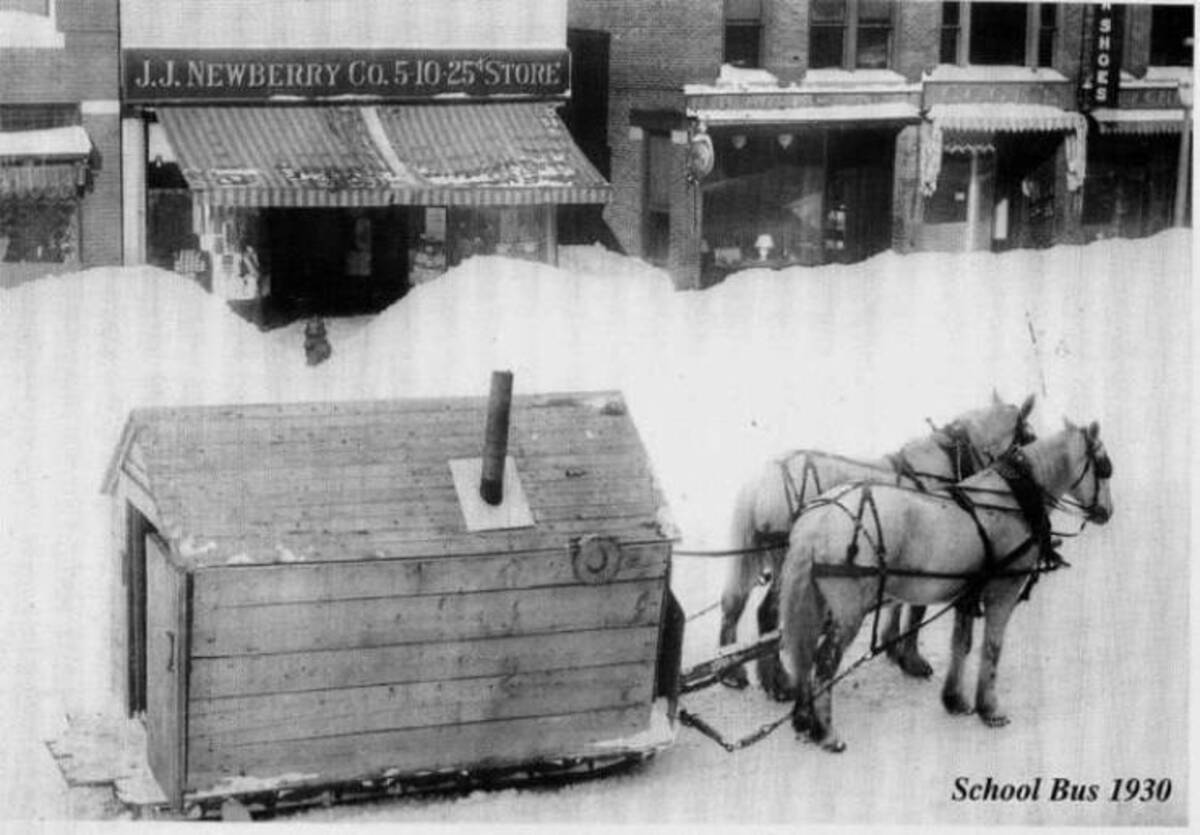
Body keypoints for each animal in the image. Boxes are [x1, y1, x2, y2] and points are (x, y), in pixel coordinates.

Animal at [715, 393, 1036, 686]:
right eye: (1030, 437)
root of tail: (762, 481)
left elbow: (897, 603)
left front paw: (893, 647)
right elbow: (916, 610)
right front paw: (911, 659)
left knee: (734, 603)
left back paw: (732, 671)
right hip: (787, 561)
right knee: (767, 614)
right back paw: (777, 681)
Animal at [782, 419, 1108, 753]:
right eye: (1105, 467)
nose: (1106, 513)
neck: (1010, 500)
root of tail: (818, 518)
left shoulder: (968, 593)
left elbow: (960, 644)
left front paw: (955, 700)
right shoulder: (1002, 591)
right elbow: (992, 647)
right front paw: (990, 709)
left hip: (817, 603)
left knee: (804, 654)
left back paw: (805, 719)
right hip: (848, 611)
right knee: (824, 662)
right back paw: (827, 733)